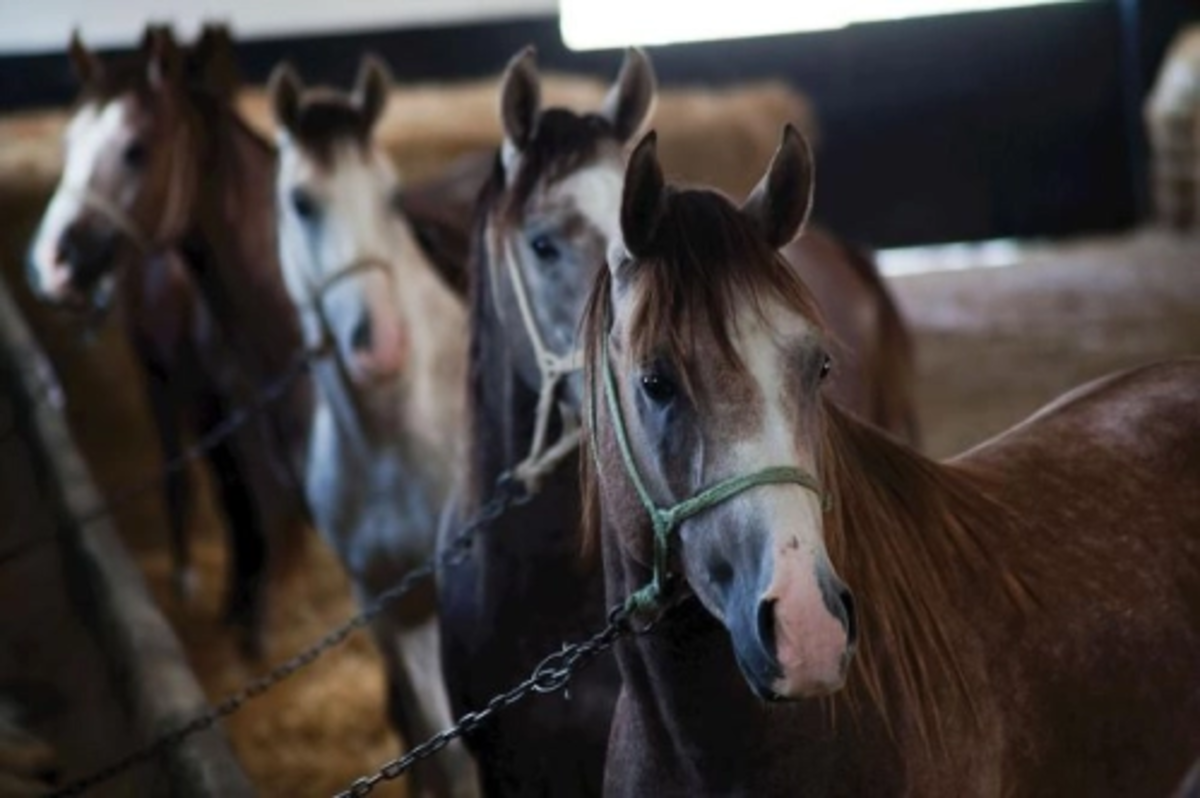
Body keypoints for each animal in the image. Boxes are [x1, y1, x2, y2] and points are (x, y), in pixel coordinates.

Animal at [24, 28, 309, 657]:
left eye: (135, 149)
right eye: (67, 141)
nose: (50, 263)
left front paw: (258, 621)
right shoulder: (227, 410)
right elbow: (243, 502)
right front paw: (241, 611)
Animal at [270, 57, 480, 796]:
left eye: (389, 198)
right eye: (301, 202)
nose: (379, 343)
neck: (391, 438)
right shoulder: (389, 610)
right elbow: (440, 745)